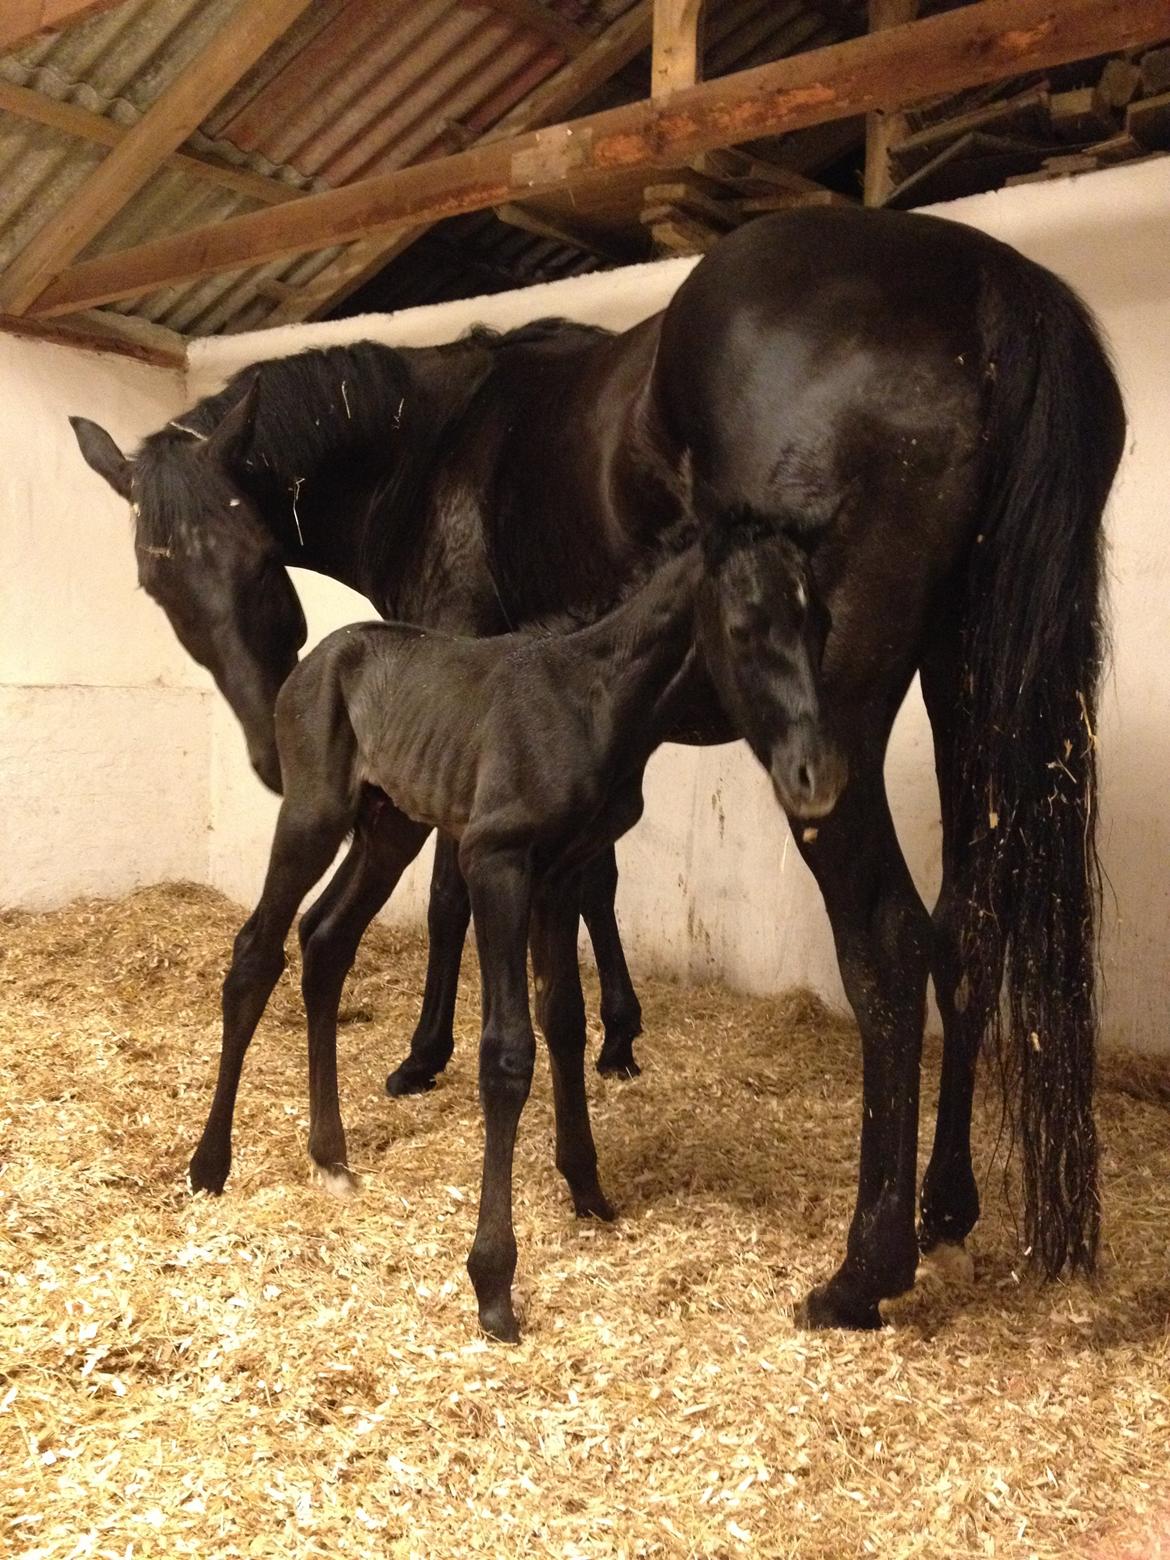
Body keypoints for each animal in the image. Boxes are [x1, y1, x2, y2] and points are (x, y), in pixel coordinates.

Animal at [187, 530, 842, 1335]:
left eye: (821, 624)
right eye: (745, 627)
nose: (818, 776)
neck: (598, 705)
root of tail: (312, 663)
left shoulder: (562, 873)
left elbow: (564, 1019)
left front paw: (587, 1188)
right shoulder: (496, 861)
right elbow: (507, 1053)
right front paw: (494, 1282)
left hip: (390, 828)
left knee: (326, 940)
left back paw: (331, 1156)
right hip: (314, 814)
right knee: (256, 951)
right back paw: (210, 1165)